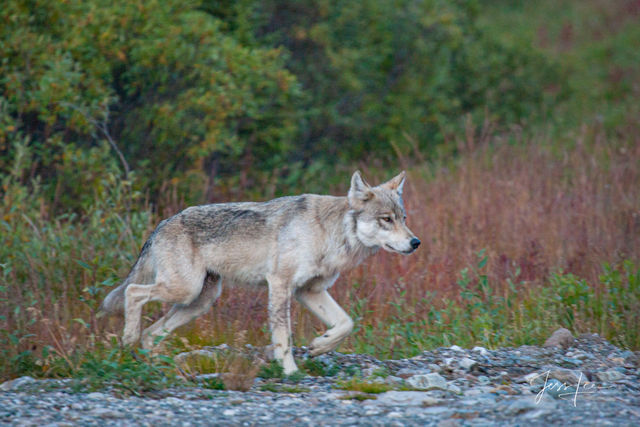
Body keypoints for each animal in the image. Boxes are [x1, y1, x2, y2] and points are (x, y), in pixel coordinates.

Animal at [99, 171, 420, 374]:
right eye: (386, 220)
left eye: (404, 218)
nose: (415, 242)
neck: (330, 234)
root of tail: (161, 224)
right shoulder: (280, 284)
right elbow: (283, 336)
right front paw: (290, 372)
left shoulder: (310, 291)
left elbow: (345, 323)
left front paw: (320, 346)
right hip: (184, 290)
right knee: (133, 293)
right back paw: (128, 342)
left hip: (199, 301)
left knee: (153, 332)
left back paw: (154, 364)